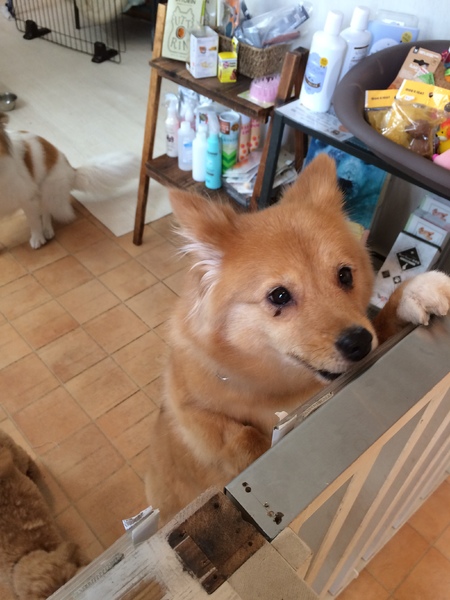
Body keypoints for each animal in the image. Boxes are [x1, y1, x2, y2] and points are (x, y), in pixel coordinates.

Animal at [0, 112, 139, 249]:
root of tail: (72, 172)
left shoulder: (27, 196)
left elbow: (34, 222)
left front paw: (37, 239)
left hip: (49, 188)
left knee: (46, 211)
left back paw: (47, 230)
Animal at [145, 154, 450, 524]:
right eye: (278, 296)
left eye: (345, 275)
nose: (359, 343)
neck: (277, 383)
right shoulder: (187, 409)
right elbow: (239, 436)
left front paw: (415, 292)